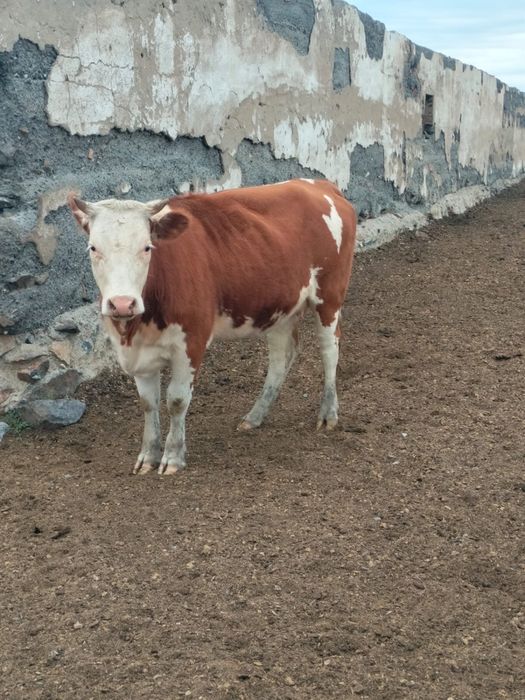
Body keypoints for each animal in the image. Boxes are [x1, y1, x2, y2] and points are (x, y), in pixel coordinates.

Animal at [68, 179, 357, 475]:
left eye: (147, 247)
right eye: (93, 248)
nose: (122, 303)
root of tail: (319, 185)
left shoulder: (192, 341)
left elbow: (177, 400)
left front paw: (173, 457)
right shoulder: (137, 351)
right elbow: (148, 403)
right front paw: (148, 456)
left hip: (330, 295)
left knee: (329, 350)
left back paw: (328, 413)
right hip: (281, 308)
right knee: (281, 357)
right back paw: (255, 416)